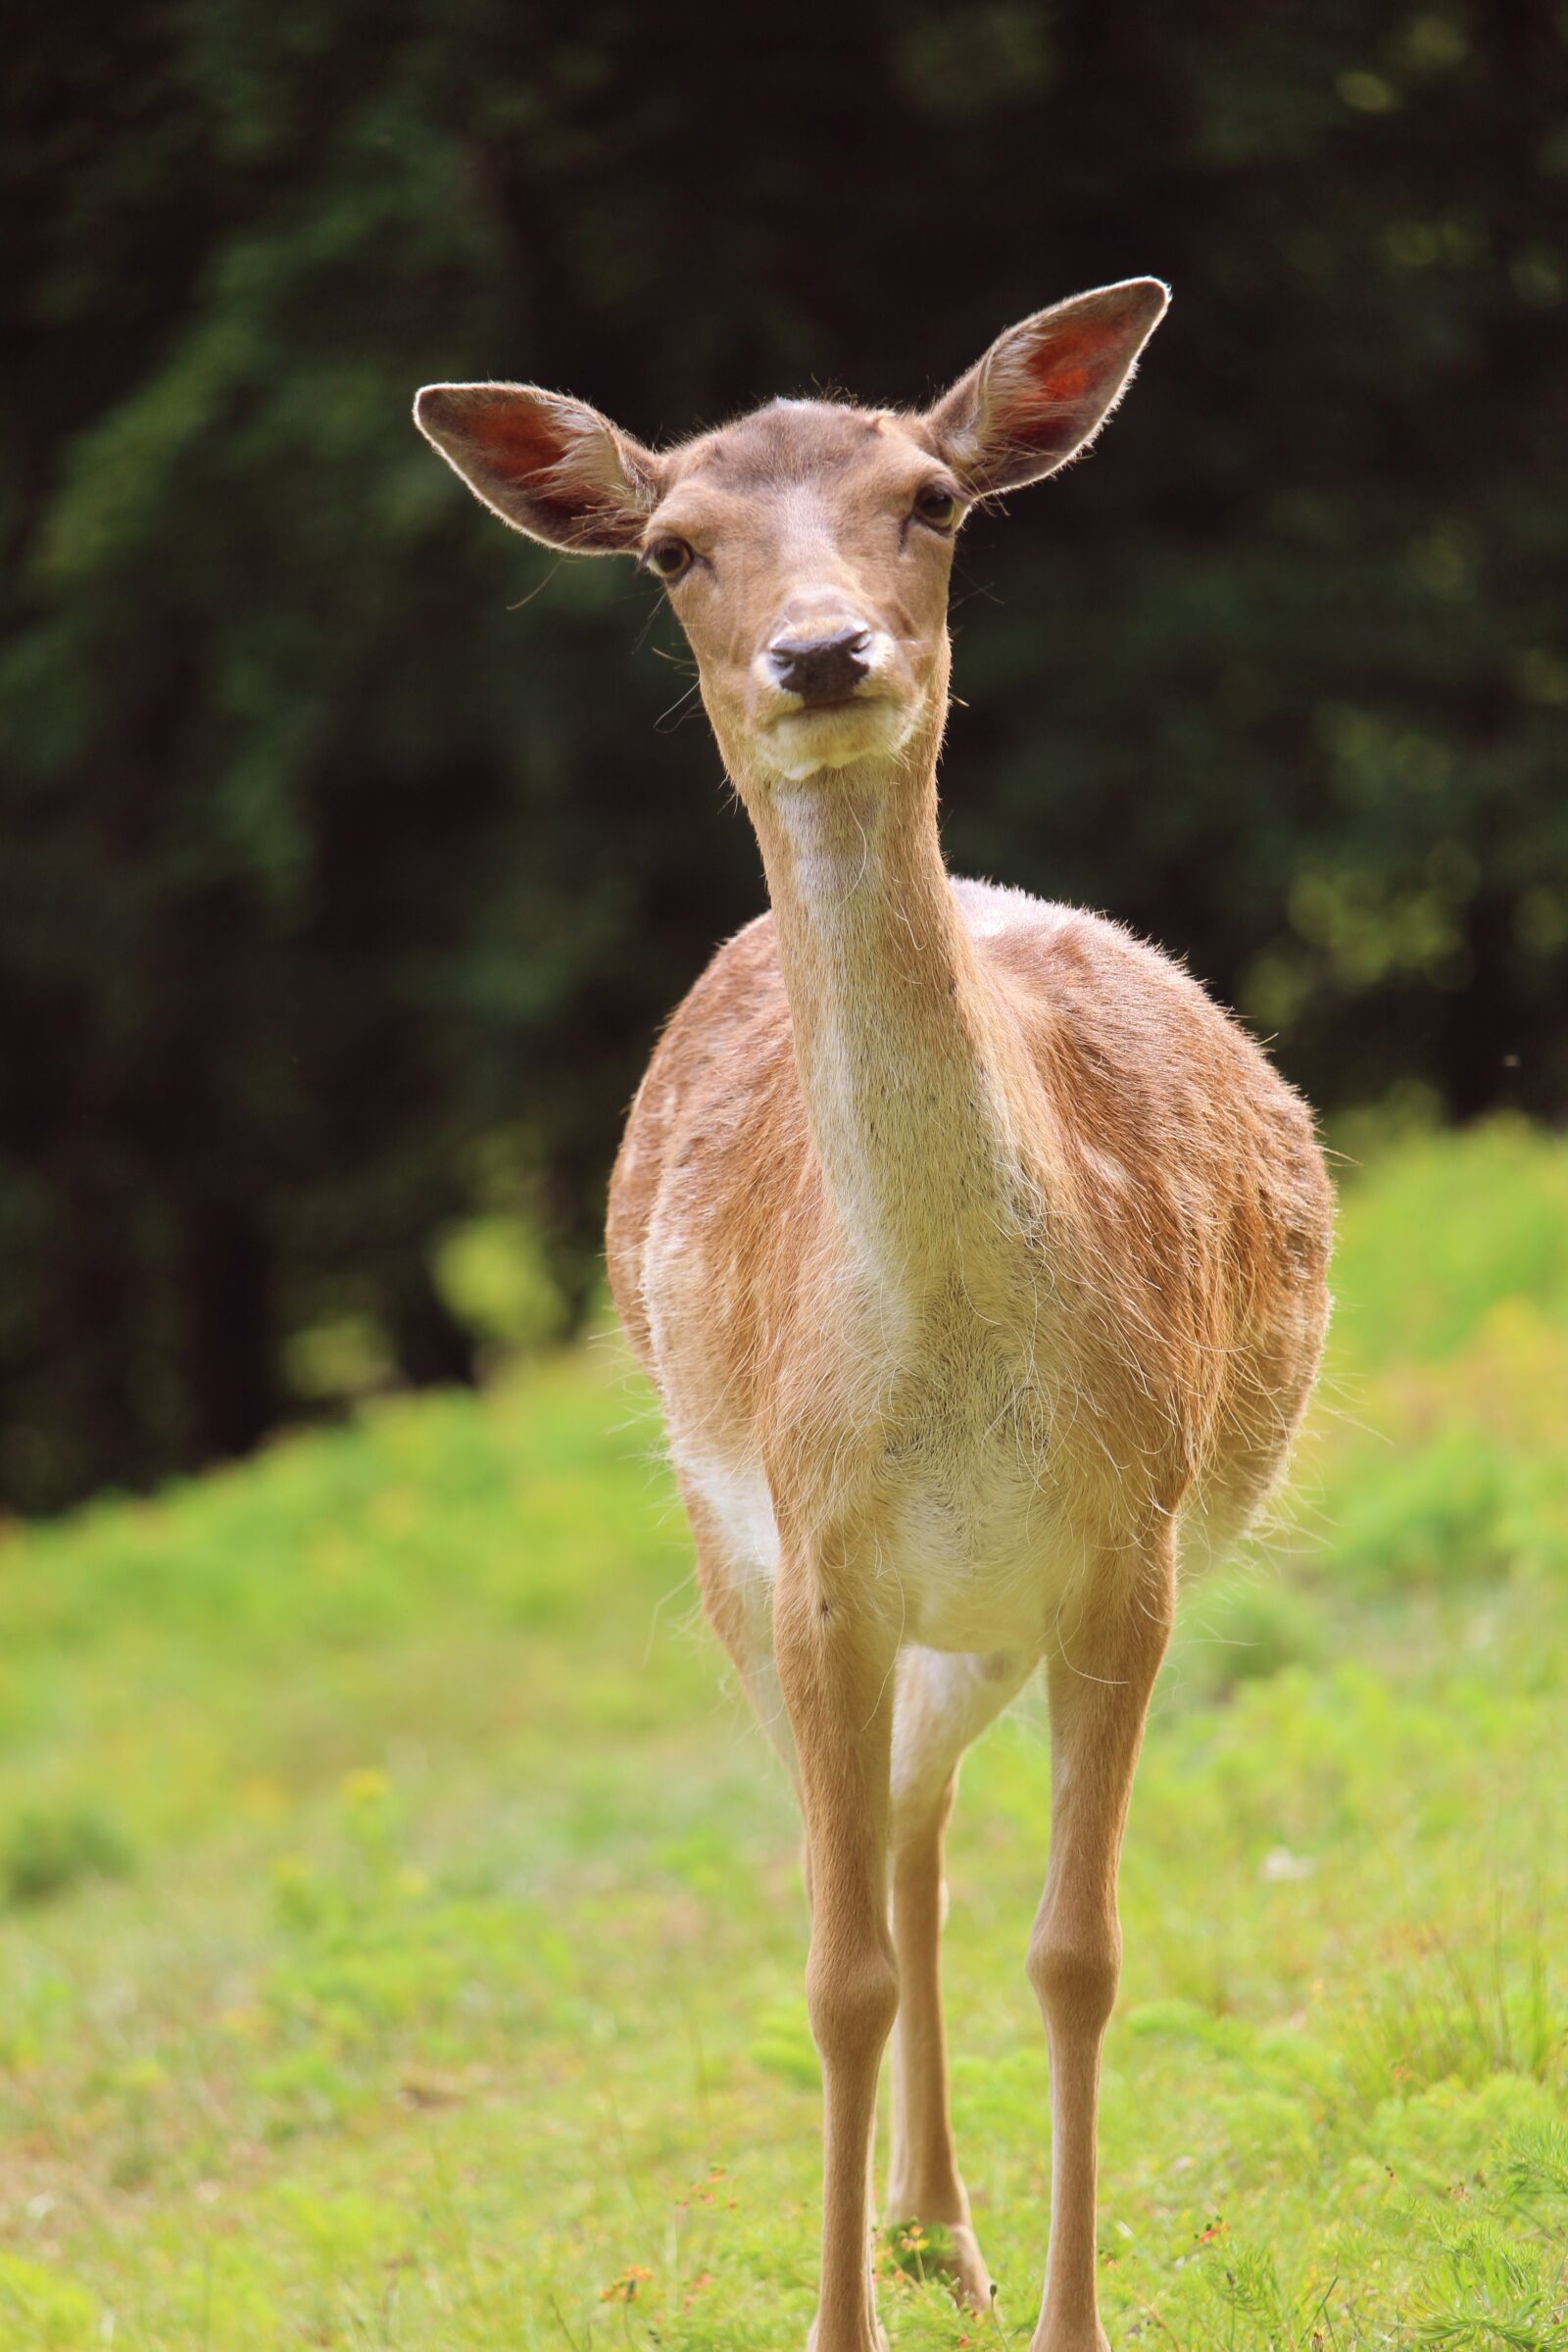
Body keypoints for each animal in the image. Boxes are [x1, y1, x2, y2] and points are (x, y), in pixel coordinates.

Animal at [415, 278, 1332, 2352]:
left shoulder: (1128, 1549)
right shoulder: (817, 1556)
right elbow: (830, 1975)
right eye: (673, 546)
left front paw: (1070, 2318)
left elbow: (1078, 1953)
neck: (952, 1365)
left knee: (920, 1825)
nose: (821, 650)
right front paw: (843, 2318)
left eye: (931, 498)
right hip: (732, 1561)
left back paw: (945, 2229)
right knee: (882, 1852)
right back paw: (921, 2233)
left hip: (985, 1614)